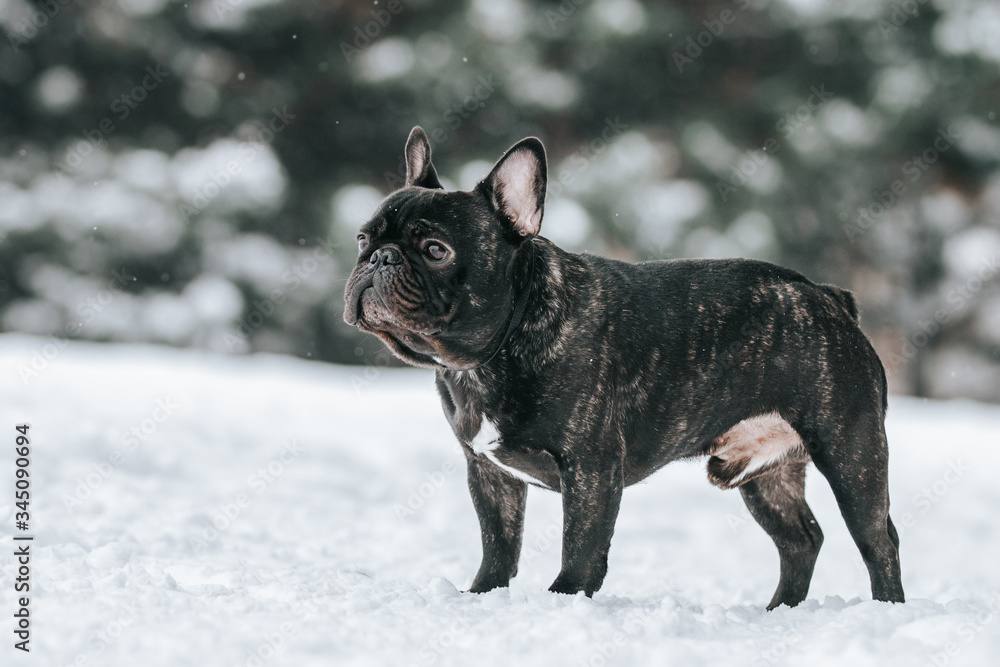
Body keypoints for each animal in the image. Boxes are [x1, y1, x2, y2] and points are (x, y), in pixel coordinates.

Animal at [346, 126, 908, 612]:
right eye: (362, 239)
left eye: (435, 250)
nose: (380, 259)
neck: (492, 351)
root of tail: (828, 298)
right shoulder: (488, 471)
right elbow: (499, 543)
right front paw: (482, 597)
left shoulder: (591, 469)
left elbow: (580, 546)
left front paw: (564, 602)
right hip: (767, 473)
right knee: (800, 539)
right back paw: (778, 612)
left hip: (851, 452)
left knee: (878, 540)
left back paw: (885, 611)